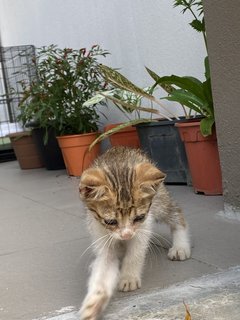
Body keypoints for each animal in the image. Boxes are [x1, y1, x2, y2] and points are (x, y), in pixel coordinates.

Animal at [79, 147, 191, 320]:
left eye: (139, 217)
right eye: (110, 222)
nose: (126, 235)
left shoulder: (143, 226)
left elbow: (135, 253)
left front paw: (129, 277)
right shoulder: (100, 231)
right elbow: (105, 266)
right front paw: (94, 304)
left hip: (159, 201)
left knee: (175, 213)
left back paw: (180, 246)